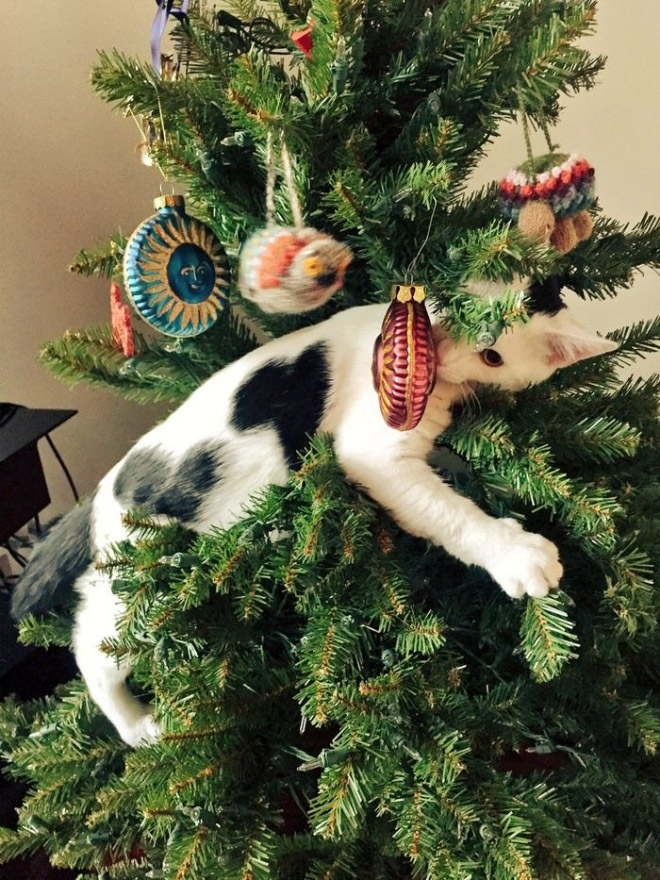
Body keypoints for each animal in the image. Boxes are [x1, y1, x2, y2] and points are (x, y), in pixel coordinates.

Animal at [11, 278, 620, 744]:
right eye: (451, 315)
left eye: (493, 354)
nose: (445, 351)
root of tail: (103, 488)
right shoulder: (372, 453)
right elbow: (449, 512)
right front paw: (518, 554)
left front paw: (468, 469)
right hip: (138, 582)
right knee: (91, 647)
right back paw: (135, 724)